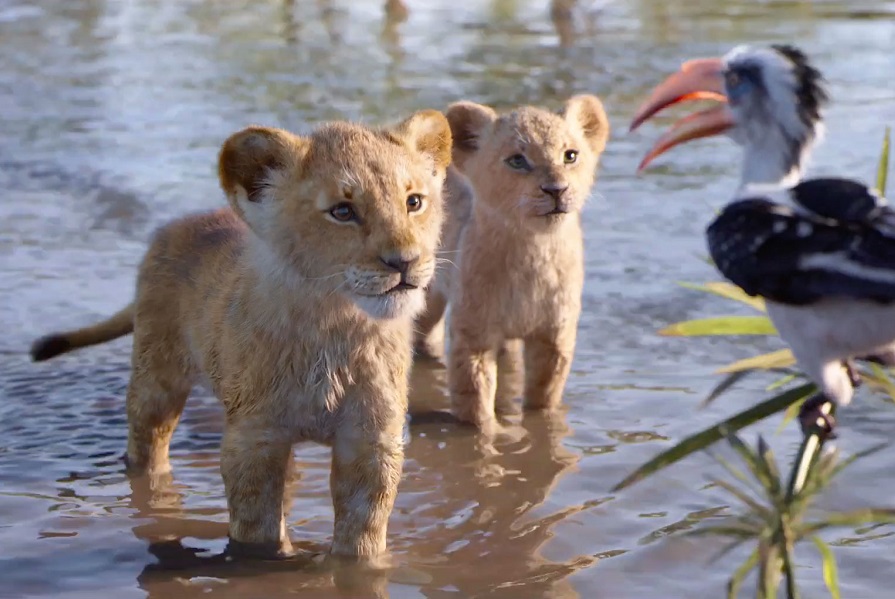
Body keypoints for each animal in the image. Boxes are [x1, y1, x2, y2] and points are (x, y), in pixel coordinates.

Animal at [28, 110, 453, 559]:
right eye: (342, 211)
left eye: (414, 202)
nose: (405, 262)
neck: (336, 326)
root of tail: (182, 222)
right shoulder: (253, 438)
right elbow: (256, 527)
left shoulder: (371, 439)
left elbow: (362, 534)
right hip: (156, 378)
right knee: (147, 442)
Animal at [414, 95, 610, 432]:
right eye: (517, 160)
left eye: (570, 155)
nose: (557, 190)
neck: (533, 251)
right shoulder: (474, 332)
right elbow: (475, 398)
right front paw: (489, 436)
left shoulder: (554, 334)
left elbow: (544, 393)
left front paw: (542, 426)